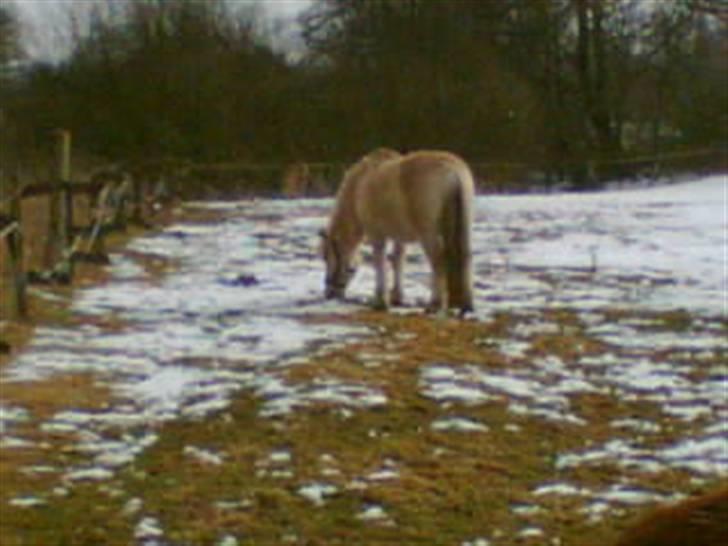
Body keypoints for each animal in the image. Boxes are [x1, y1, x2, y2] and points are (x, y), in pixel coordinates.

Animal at [322, 148, 474, 310]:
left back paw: (434, 303)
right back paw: (466, 304)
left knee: (438, 261)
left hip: (428, 234)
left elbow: (380, 263)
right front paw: (397, 297)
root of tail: (453, 171)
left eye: (325, 256)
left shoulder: (376, 234)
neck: (359, 185)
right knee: (466, 256)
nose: (329, 294)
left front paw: (380, 300)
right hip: (464, 227)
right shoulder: (399, 237)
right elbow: (398, 261)